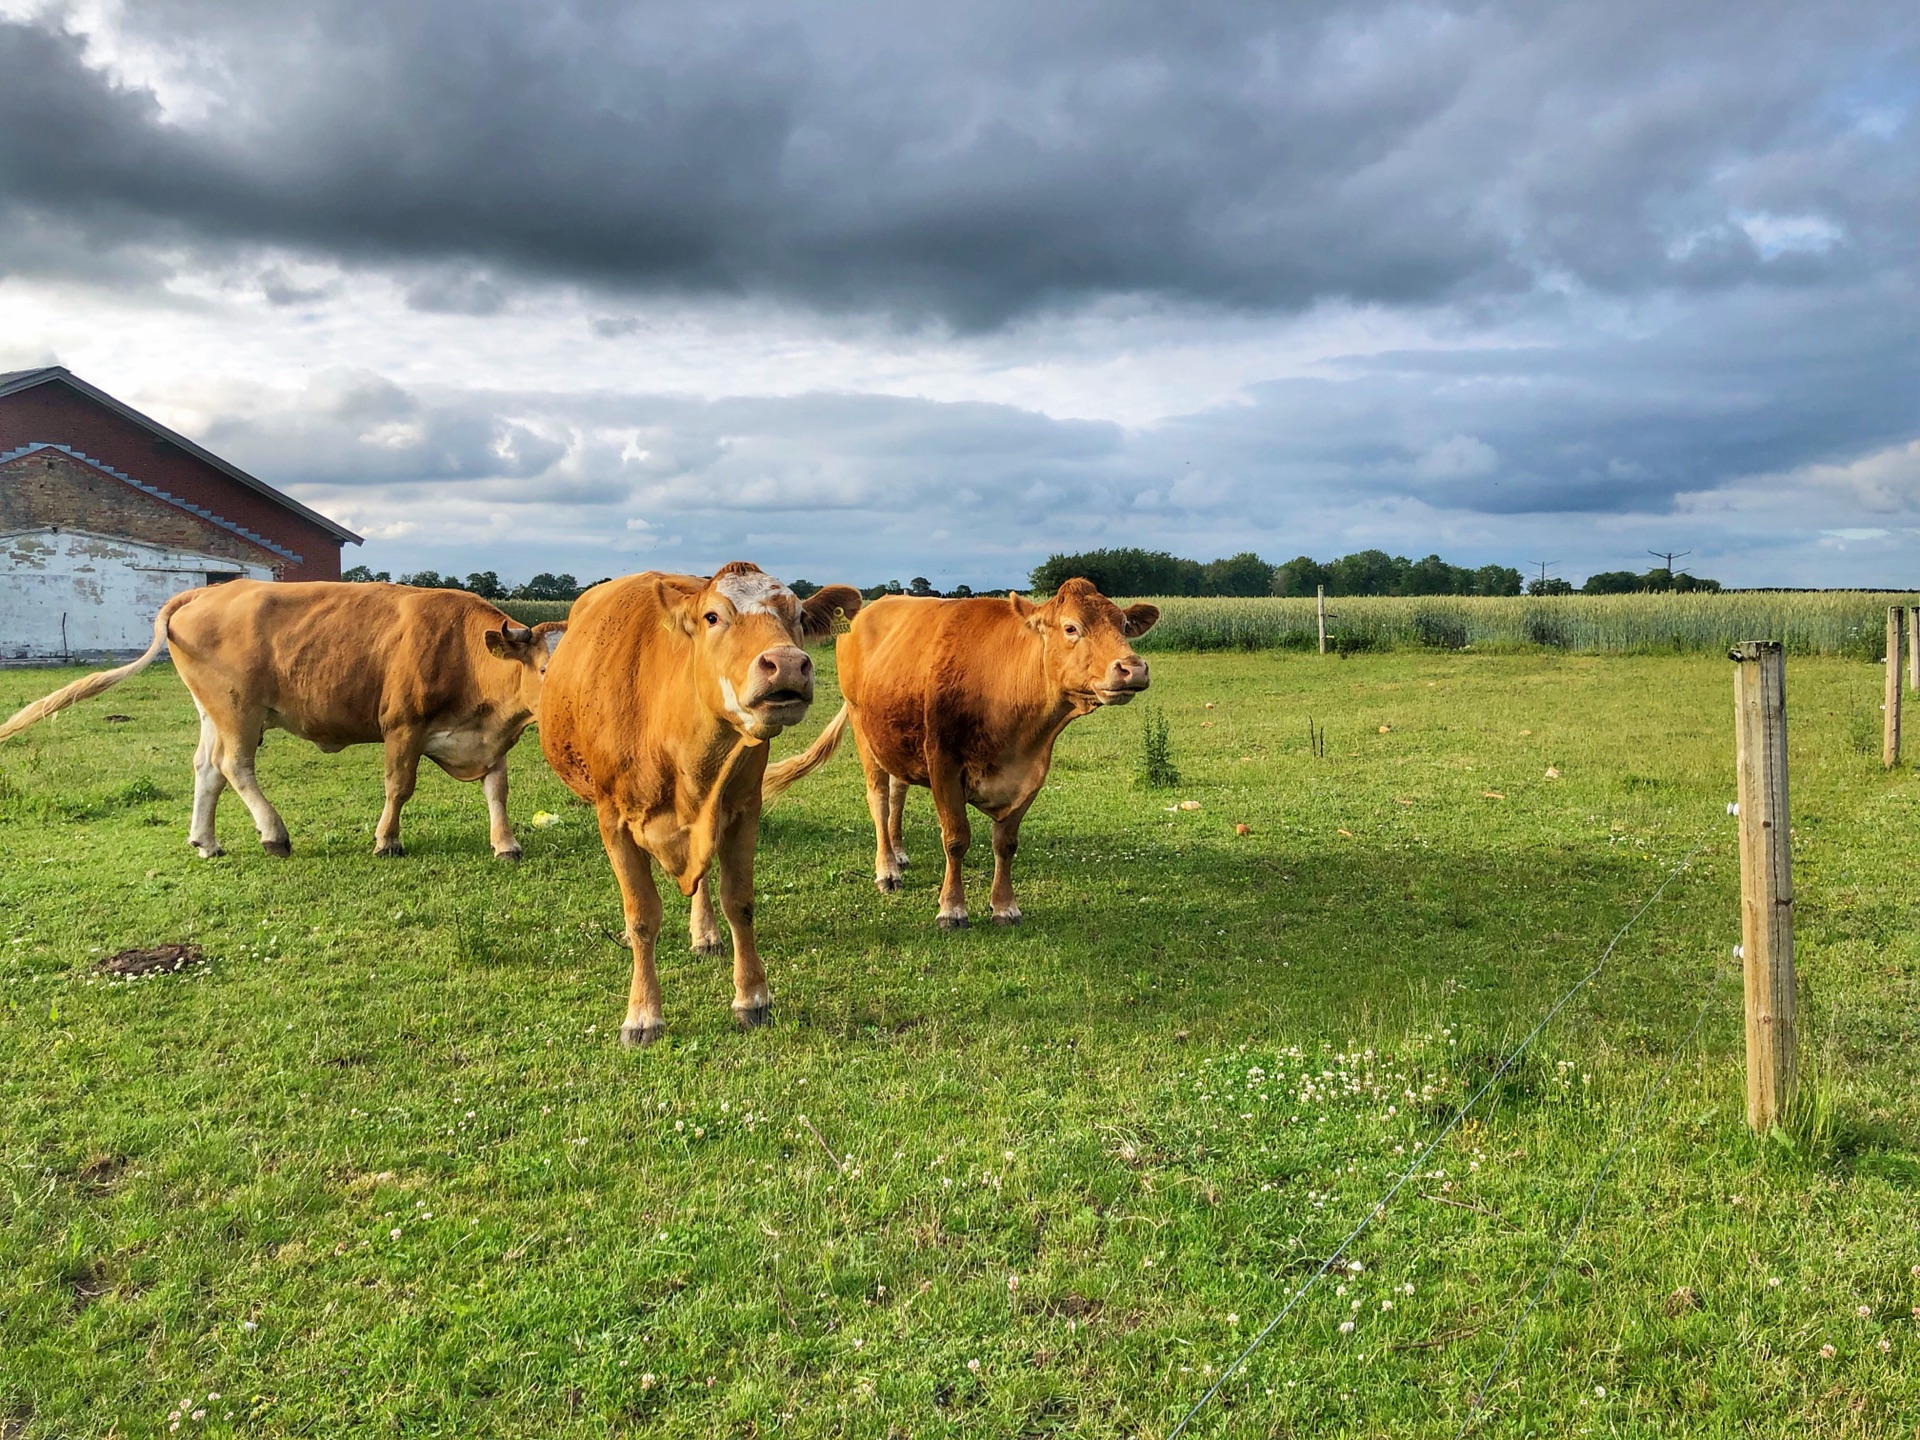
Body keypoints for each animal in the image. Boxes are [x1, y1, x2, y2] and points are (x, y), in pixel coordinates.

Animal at [0, 579, 564, 864]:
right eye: (544, 668)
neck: (467, 653)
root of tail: (208, 591)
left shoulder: (490, 739)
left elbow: (497, 789)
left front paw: (506, 843)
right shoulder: (401, 727)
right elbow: (399, 787)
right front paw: (387, 840)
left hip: (213, 710)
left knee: (206, 768)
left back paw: (206, 841)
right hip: (238, 710)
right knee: (234, 766)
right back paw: (274, 835)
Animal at [545, 564, 867, 1052]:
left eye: (796, 616)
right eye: (713, 617)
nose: (788, 663)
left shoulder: (742, 809)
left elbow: (739, 900)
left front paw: (752, 997)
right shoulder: (613, 819)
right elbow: (641, 915)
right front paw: (643, 1014)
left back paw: (706, 932)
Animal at [760, 579, 1152, 929]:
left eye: (1123, 626)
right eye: (1071, 627)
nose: (1133, 668)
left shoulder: (1032, 774)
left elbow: (1006, 844)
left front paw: (1005, 907)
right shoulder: (943, 764)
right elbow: (955, 839)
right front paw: (952, 909)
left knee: (898, 793)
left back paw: (899, 854)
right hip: (863, 728)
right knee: (880, 798)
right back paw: (887, 869)